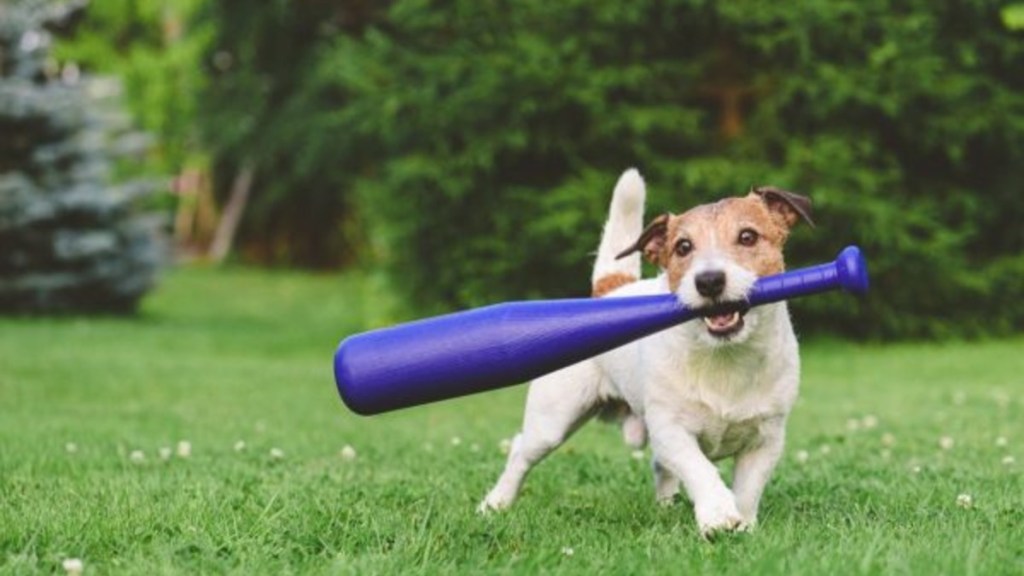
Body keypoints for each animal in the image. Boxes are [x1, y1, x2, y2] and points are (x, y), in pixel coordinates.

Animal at [479, 168, 815, 537]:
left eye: (748, 237)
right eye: (683, 246)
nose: (709, 280)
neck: (724, 357)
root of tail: (608, 292)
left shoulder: (766, 439)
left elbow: (748, 489)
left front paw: (742, 522)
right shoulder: (670, 429)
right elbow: (699, 468)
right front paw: (716, 512)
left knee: (660, 467)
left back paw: (667, 505)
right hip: (552, 420)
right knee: (520, 452)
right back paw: (495, 503)